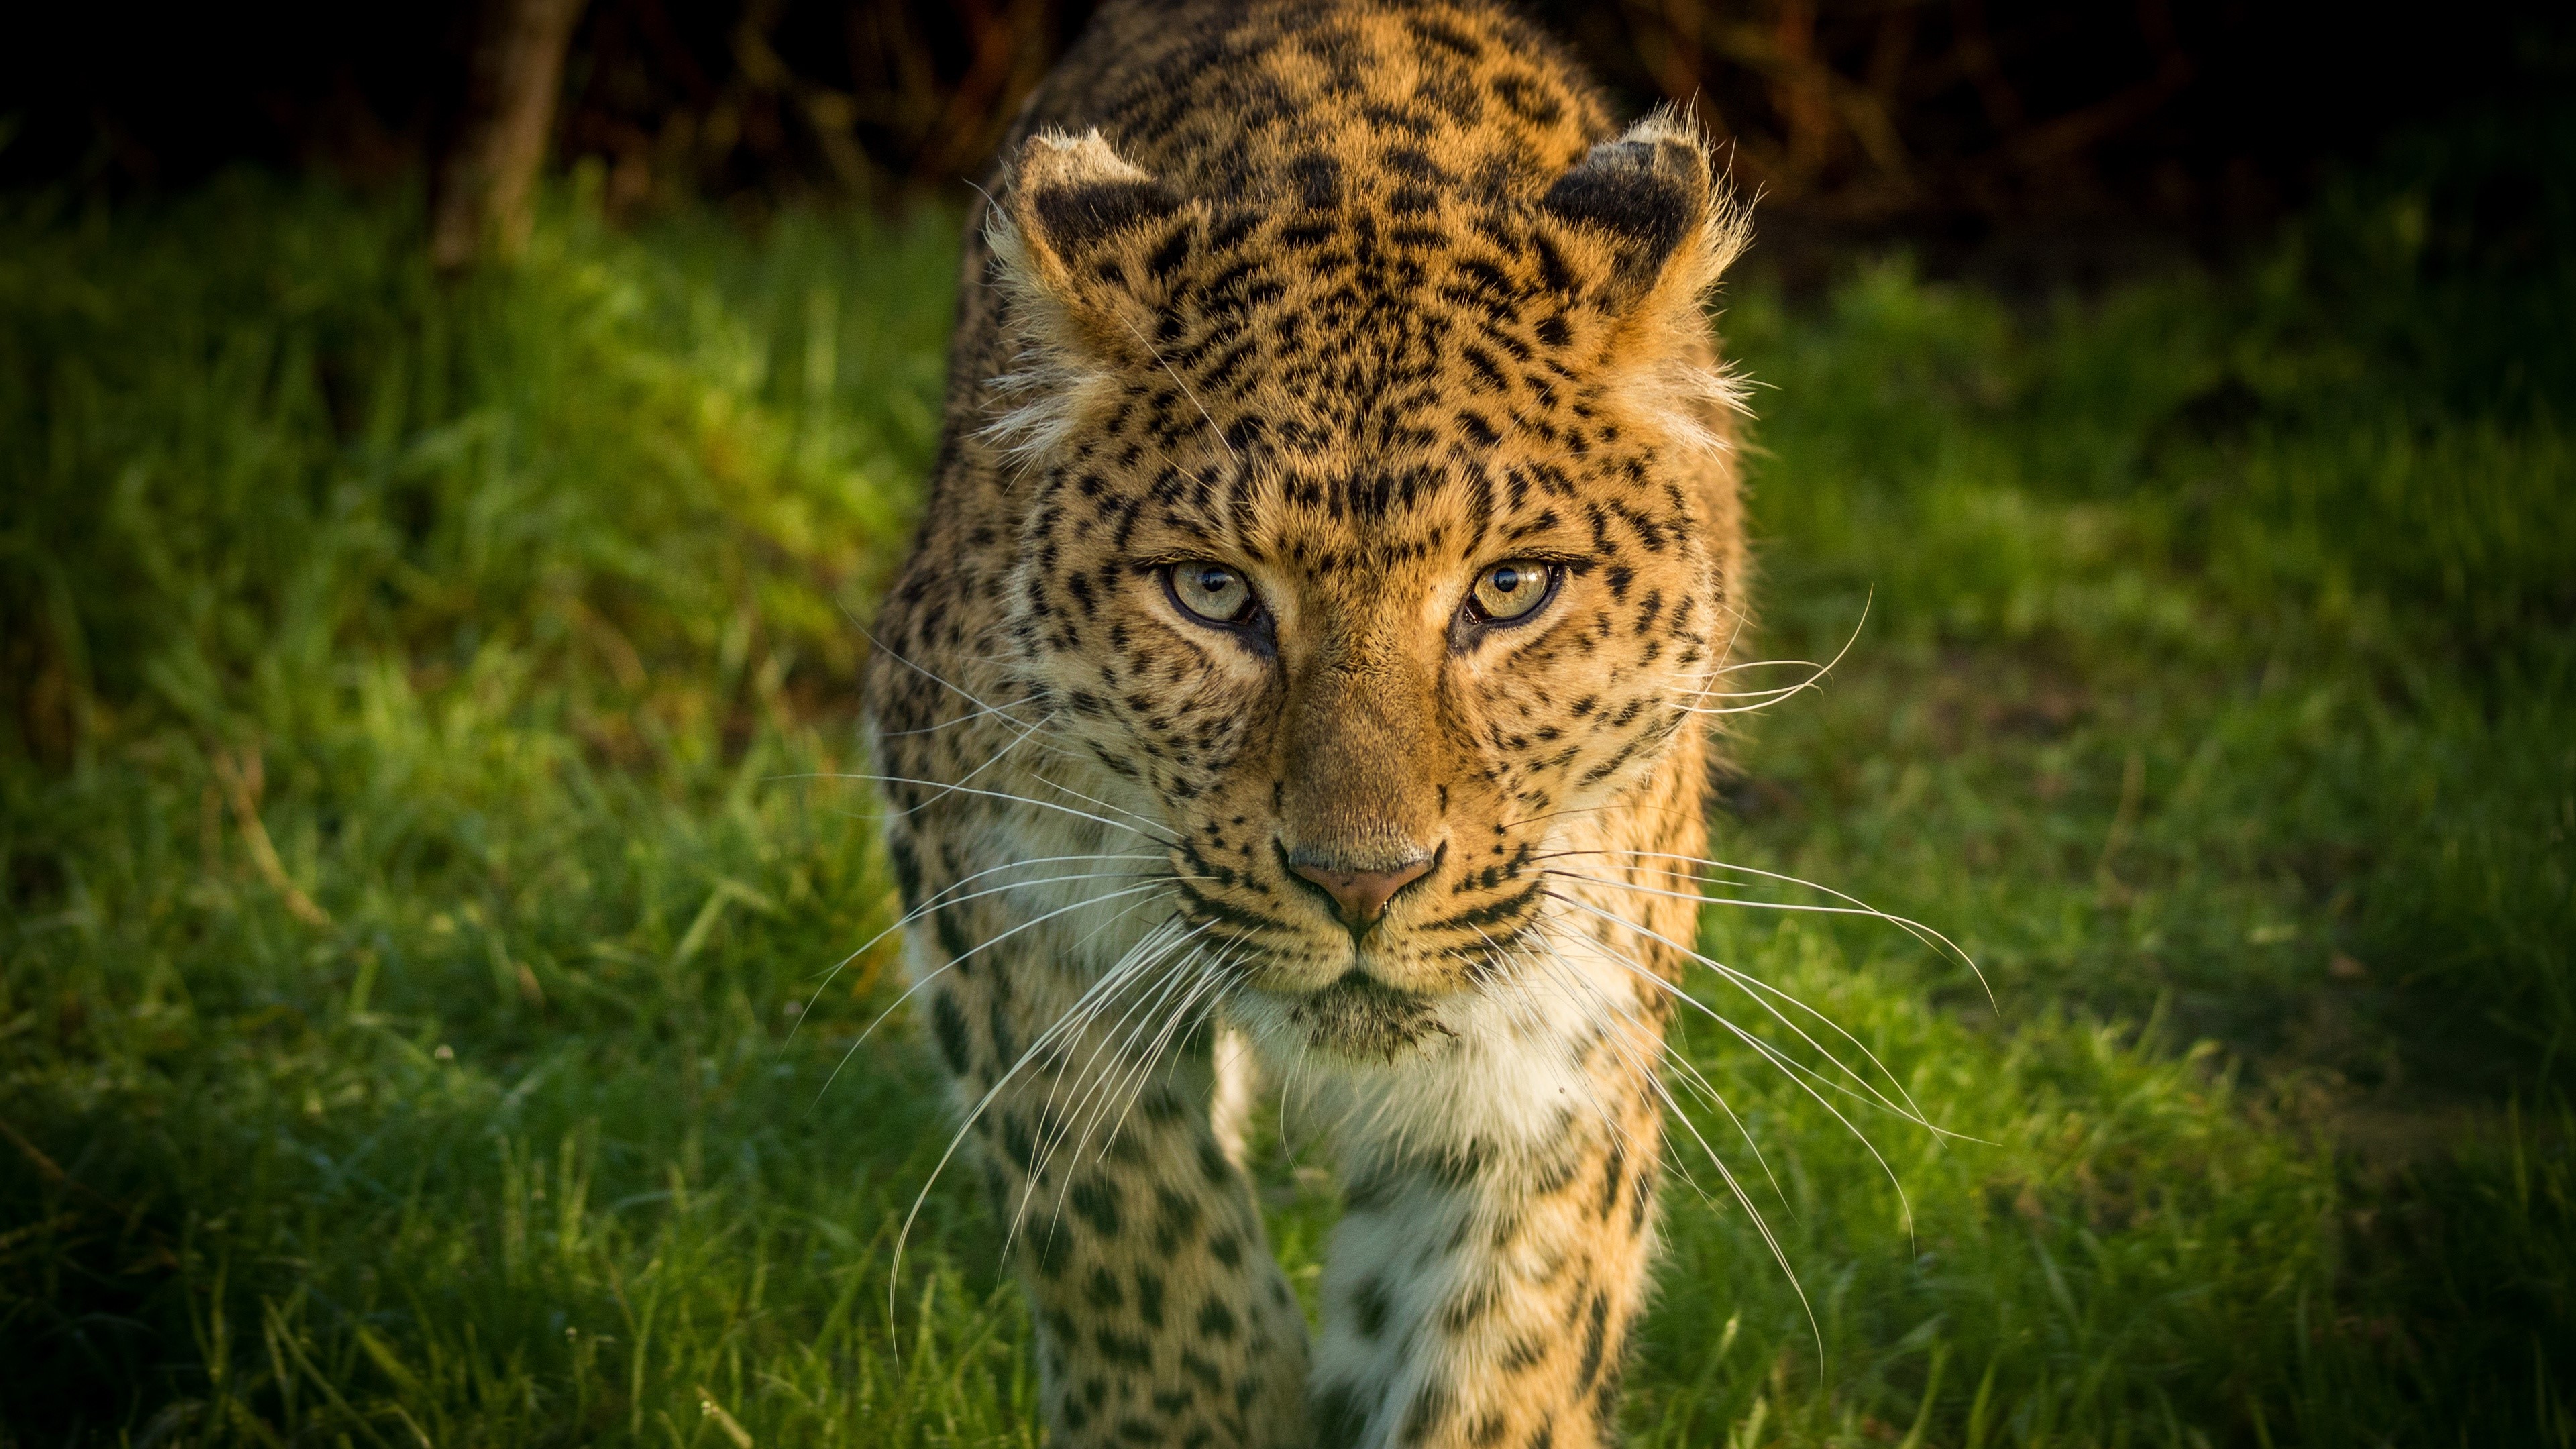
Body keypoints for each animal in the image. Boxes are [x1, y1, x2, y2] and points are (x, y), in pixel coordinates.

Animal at [859, 1, 1757, 1444]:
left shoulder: (1567, 1031)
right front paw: (1192, 1403)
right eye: (1214, 593)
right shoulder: (989, 876)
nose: (1361, 884)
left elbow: (1500, 1352)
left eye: (1512, 590)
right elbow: (1122, 1218)